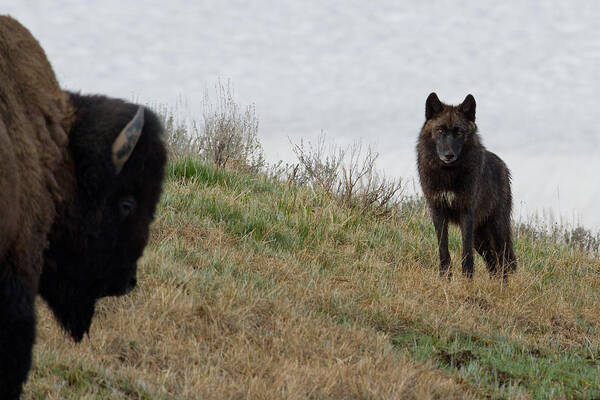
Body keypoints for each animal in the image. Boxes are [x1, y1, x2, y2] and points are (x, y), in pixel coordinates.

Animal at [418, 91, 516, 278]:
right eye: (440, 130)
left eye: (459, 132)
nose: (449, 155)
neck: (448, 175)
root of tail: (504, 166)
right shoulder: (437, 211)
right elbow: (444, 251)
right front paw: (445, 278)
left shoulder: (467, 213)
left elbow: (466, 254)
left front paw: (467, 280)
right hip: (480, 237)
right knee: (493, 264)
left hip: (497, 229)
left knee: (504, 264)